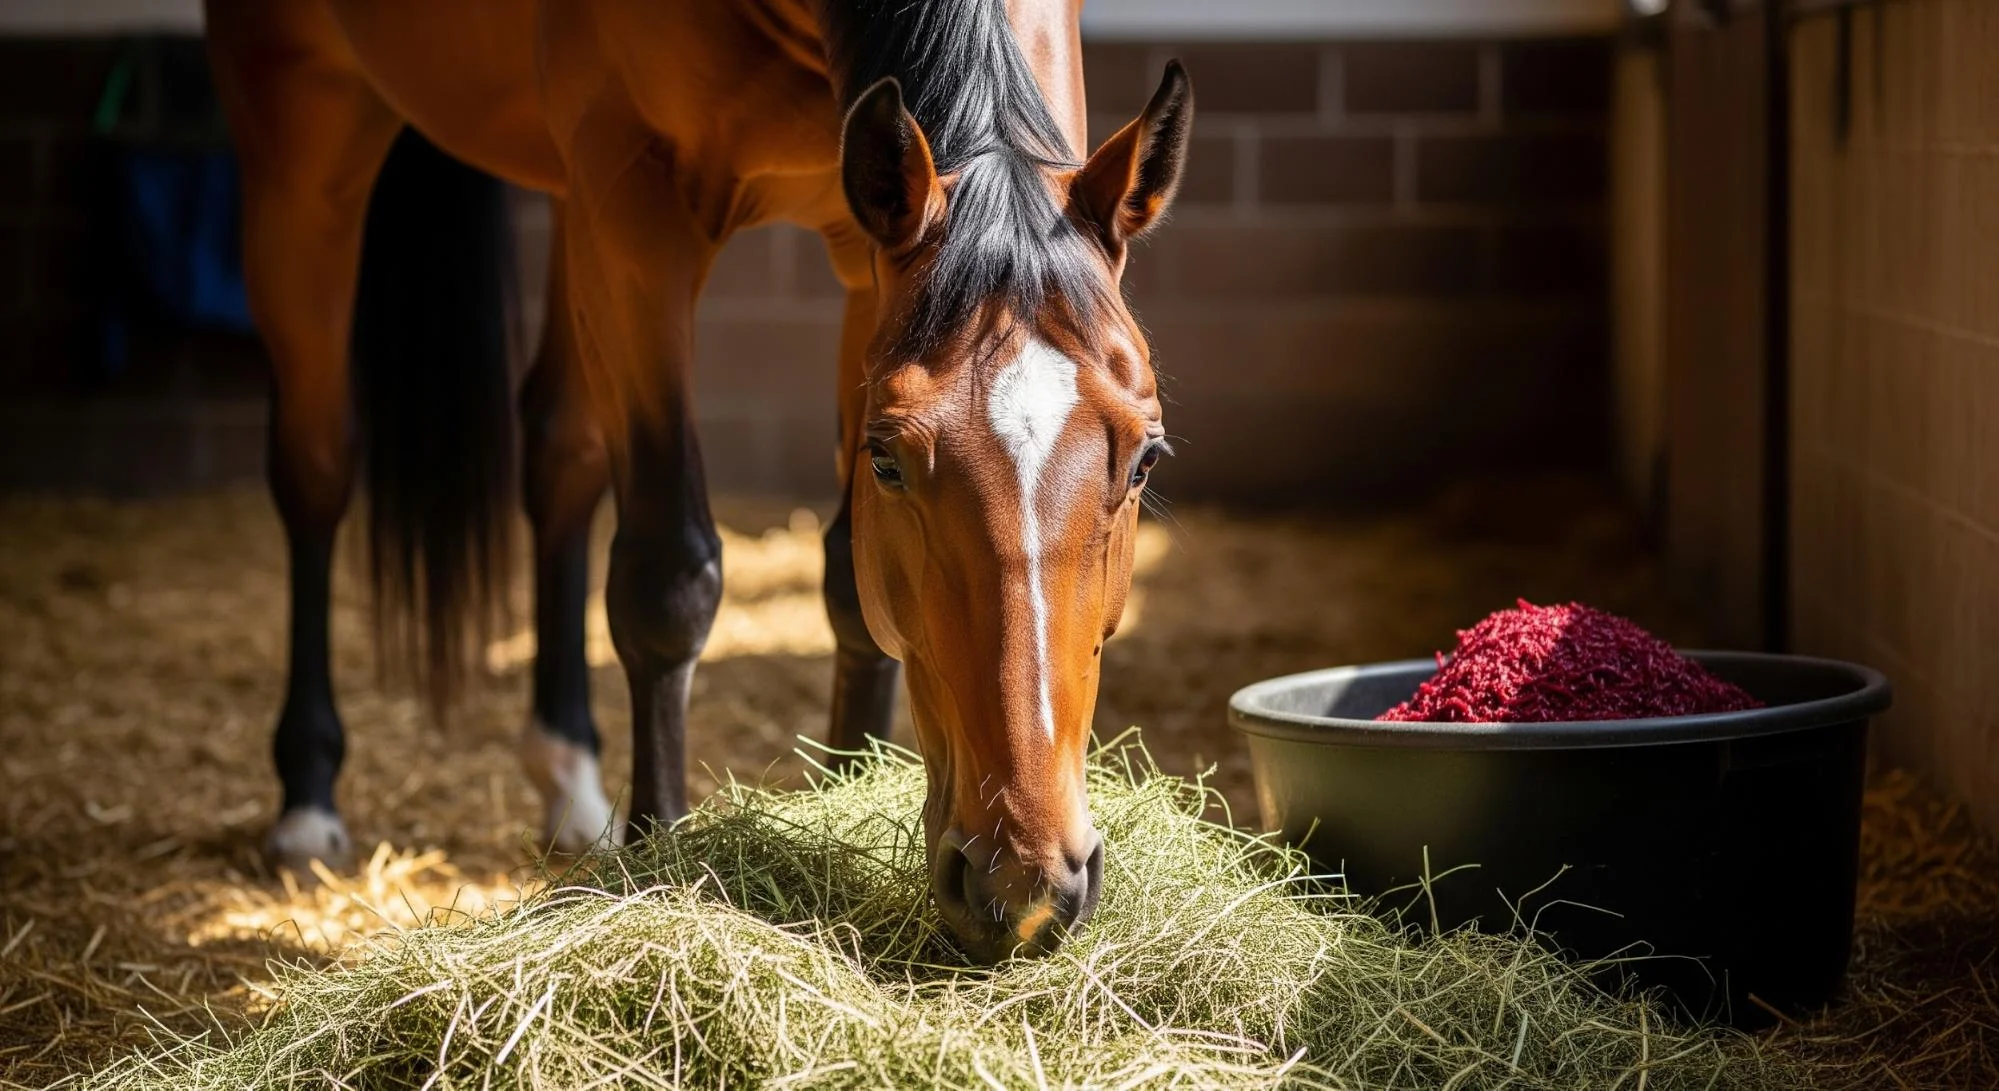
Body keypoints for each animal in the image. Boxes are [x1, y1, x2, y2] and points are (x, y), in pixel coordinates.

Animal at [202, 0, 1193, 962]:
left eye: (1144, 458)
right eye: (886, 459)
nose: (1023, 878)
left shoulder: (854, 254)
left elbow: (851, 586)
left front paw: (844, 794)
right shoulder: (637, 212)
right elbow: (664, 581)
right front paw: (660, 860)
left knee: (560, 452)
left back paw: (569, 782)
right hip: (304, 129)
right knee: (317, 464)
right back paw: (308, 798)